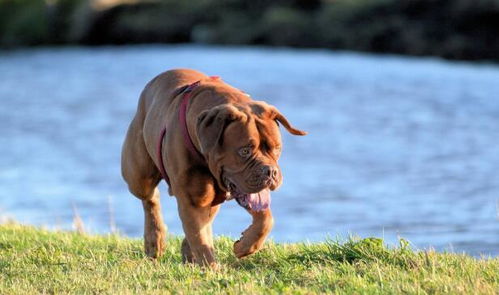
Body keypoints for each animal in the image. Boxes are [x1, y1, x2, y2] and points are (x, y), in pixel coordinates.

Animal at [122, 69, 304, 268]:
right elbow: (200, 239)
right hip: (138, 175)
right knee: (150, 198)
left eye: (277, 148)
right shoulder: (192, 199)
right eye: (245, 151)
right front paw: (211, 269)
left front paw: (245, 246)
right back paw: (155, 240)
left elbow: (265, 219)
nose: (270, 171)